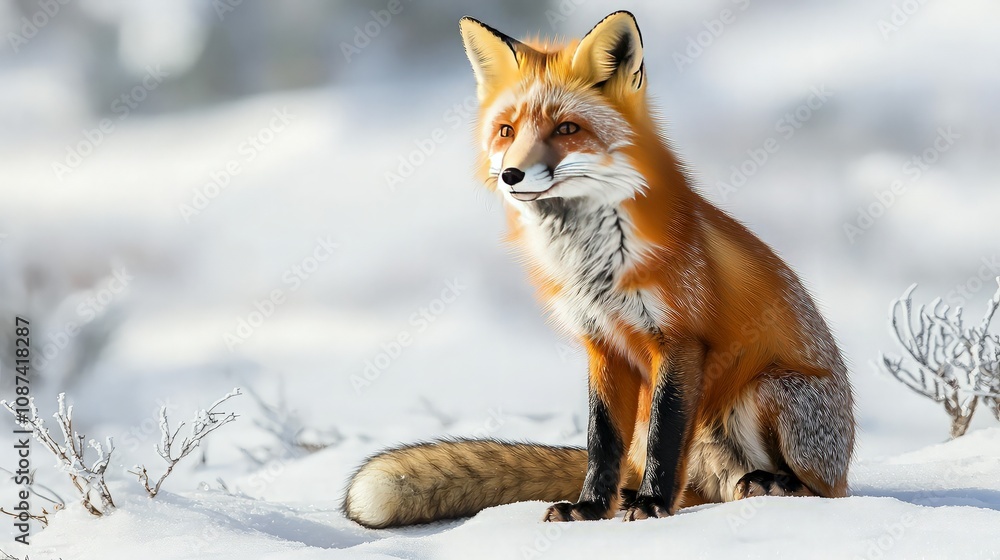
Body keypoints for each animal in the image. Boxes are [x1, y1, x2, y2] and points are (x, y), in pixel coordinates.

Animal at [343, 11, 854, 528]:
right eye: (506, 131)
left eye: (567, 128)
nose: (510, 175)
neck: (593, 265)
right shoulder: (601, 343)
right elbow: (601, 440)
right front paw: (591, 509)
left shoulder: (679, 339)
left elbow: (666, 438)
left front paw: (652, 505)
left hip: (773, 392)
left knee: (823, 491)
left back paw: (771, 484)